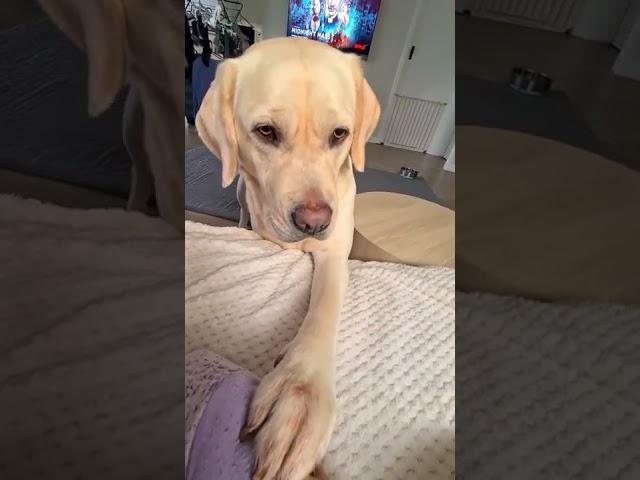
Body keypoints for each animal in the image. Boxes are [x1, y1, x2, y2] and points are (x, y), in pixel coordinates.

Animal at [198, 38, 380, 480]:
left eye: (339, 134)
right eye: (266, 132)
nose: (315, 221)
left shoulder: (334, 252)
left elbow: (324, 307)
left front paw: (301, 388)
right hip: (239, 187)